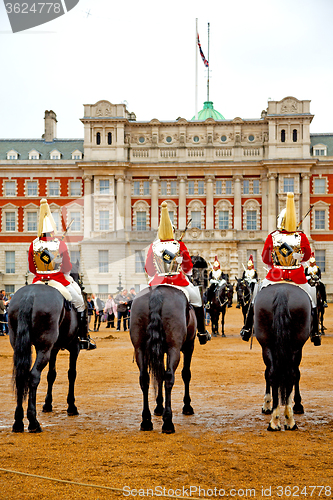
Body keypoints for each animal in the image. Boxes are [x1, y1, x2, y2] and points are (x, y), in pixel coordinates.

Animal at [8, 266, 81, 434]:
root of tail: (29, 294)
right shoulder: (74, 347)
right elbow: (71, 374)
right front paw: (71, 406)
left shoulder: (53, 349)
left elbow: (51, 375)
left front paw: (48, 404)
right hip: (44, 348)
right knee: (33, 376)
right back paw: (33, 422)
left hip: (22, 346)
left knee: (21, 375)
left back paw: (18, 422)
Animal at [129, 286, 197, 434]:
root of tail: (157, 292)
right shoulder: (189, 347)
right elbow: (186, 374)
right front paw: (187, 406)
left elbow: (159, 376)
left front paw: (159, 406)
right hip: (174, 349)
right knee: (170, 378)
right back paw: (168, 423)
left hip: (140, 349)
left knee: (144, 379)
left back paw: (146, 421)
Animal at [254, 284, 312, 432]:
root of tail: (282, 290)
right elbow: (296, 375)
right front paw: (297, 404)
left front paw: (268, 404)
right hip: (293, 346)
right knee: (289, 374)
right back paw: (287, 419)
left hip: (268, 345)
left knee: (273, 373)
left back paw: (276, 421)